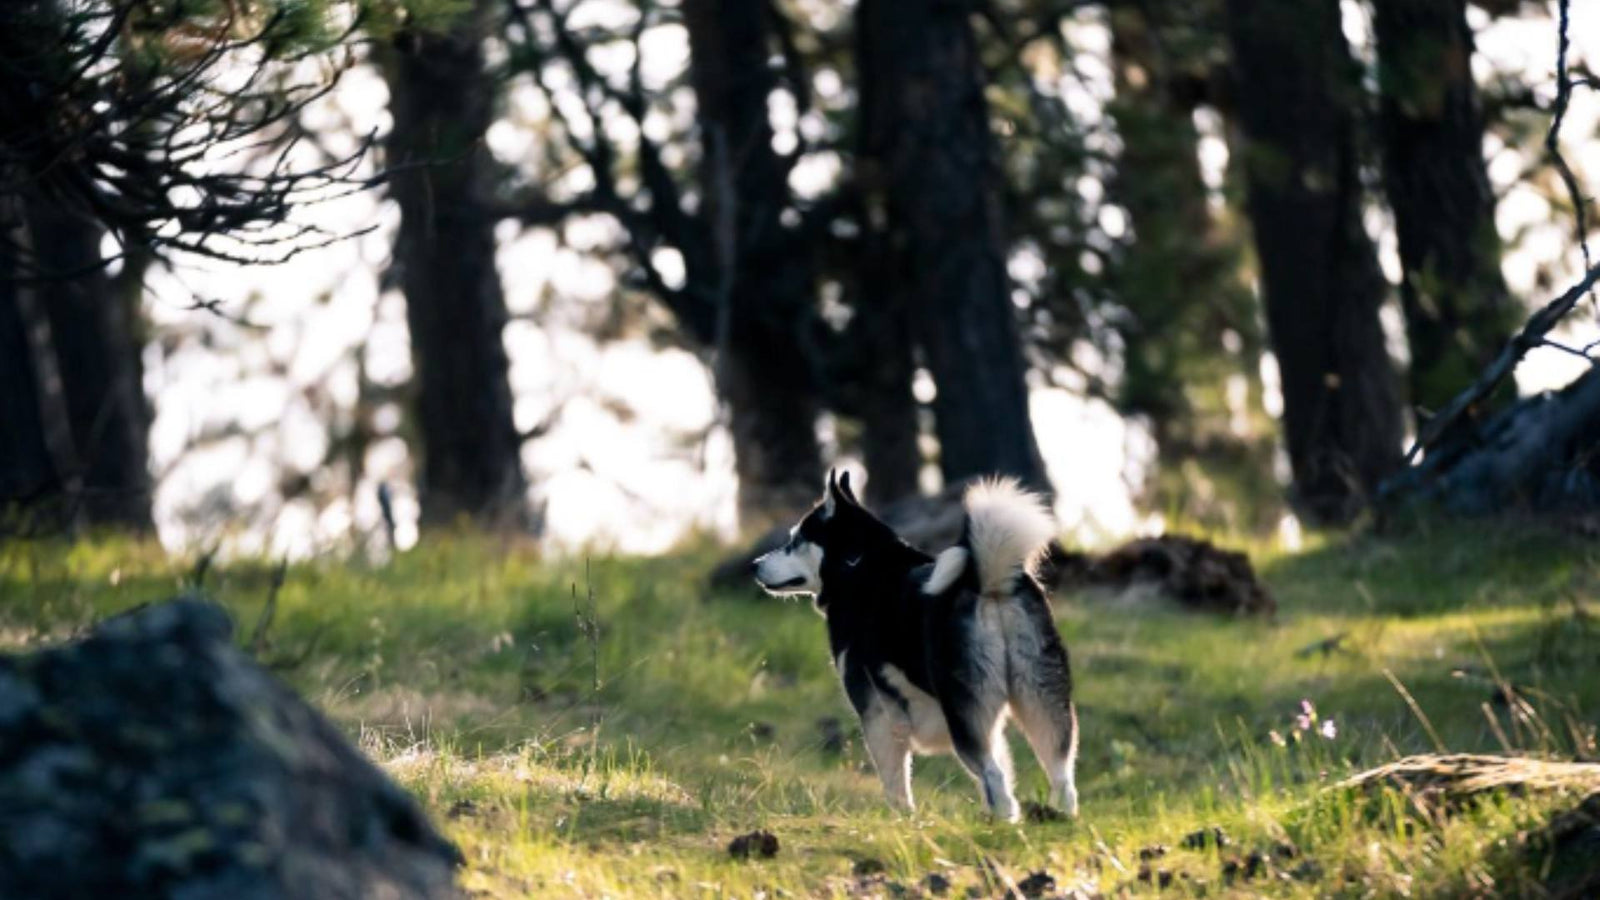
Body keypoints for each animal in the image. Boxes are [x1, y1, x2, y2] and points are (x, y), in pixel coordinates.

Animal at [752, 470, 1081, 819]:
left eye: (795, 541)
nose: (754, 564)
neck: (860, 565)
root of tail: (986, 582)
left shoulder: (876, 713)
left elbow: (895, 781)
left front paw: (901, 819)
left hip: (963, 711)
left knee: (993, 775)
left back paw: (1001, 821)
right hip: (1041, 699)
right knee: (1059, 775)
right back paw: (1056, 819)